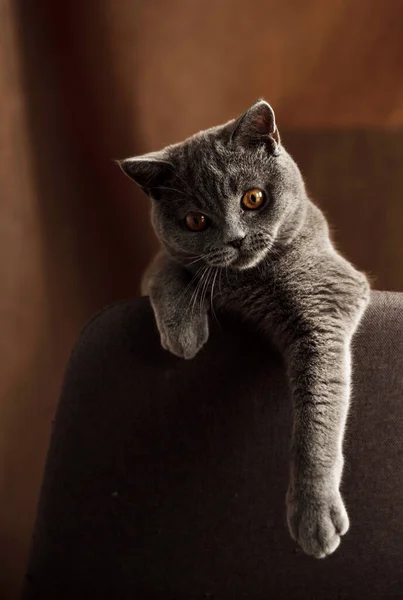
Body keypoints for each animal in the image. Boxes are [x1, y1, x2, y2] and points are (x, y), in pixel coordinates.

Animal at [118, 101, 370, 560]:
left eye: (253, 198)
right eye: (196, 221)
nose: (235, 239)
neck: (248, 281)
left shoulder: (326, 299)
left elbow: (316, 420)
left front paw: (313, 516)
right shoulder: (159, 265)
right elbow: (168, 266)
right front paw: (183, 333)